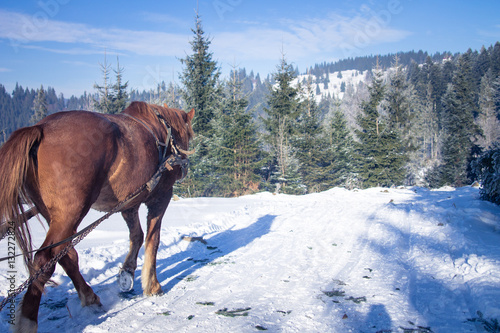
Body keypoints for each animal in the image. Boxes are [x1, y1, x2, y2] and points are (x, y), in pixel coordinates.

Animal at [0, 100, 194, 330]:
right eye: (189, 135)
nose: (183, 169)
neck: (164, 130)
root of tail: (40, 128)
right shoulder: (161, 196)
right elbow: (152, 240)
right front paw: (152, 285)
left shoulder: (128, 204)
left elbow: (136, 236)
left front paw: (127, 272)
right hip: (71, 211)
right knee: (44, 259)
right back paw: (28, 320)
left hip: (52, 213)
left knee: (65, 254)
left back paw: (89, 297)